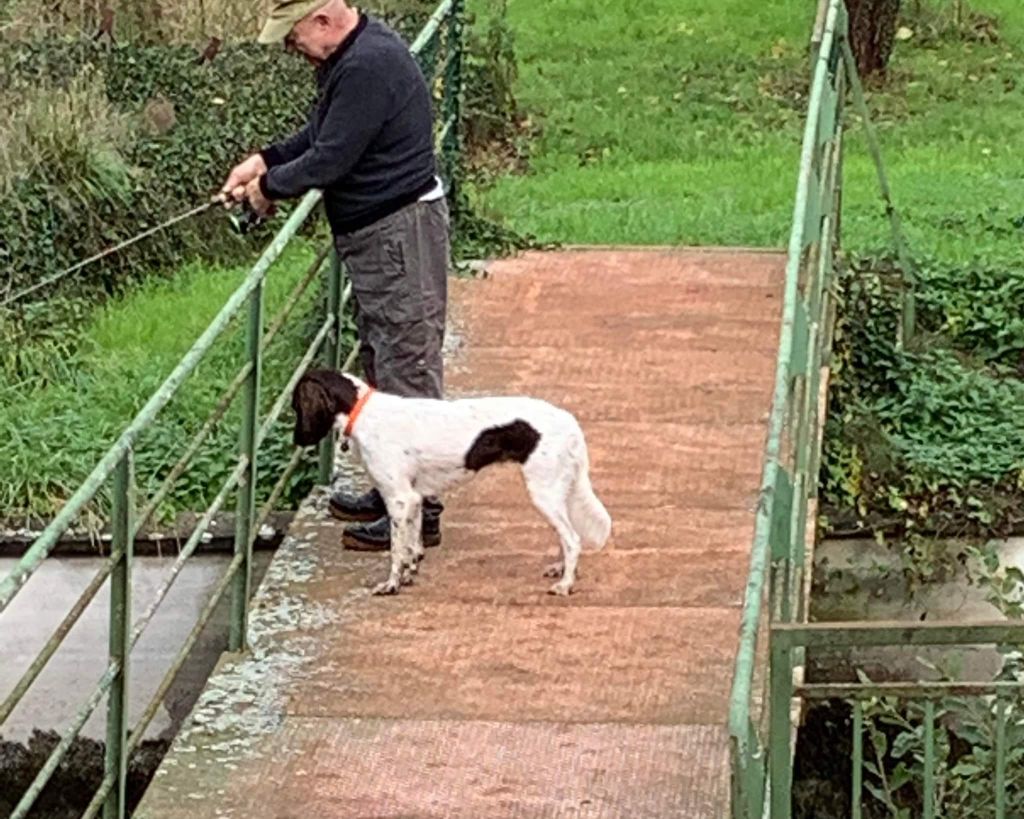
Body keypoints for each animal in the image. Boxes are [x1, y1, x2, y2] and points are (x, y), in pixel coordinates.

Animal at [290, 368, 606, 593]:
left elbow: (396, 550)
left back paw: (565, 584)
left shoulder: (399, 498)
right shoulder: (414, 498)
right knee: (565, 537)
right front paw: (409, 575)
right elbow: (412, 547)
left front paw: (391, 585)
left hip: (544, 492)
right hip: (554, 493)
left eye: (295, 406)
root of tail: (570, 422)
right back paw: (560, 569)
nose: (296, 440)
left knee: (573, 539)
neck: (363, 412)